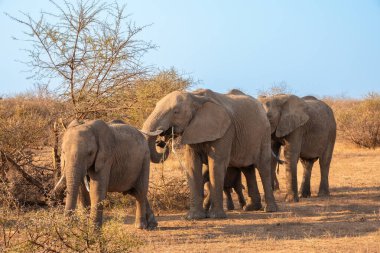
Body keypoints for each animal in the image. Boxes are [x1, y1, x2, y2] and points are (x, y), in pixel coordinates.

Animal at [142, 88, 276, 218]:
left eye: (176, 112)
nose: (161, 142)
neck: (195, 96)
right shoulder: (192, 129)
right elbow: (192, 165)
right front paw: (194, 217)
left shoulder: (226, 130)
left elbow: (216, 165)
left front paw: (216, 216)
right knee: (247, 168)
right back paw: (250, 208)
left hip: (265, 133)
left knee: (263, 166)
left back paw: (269, 209)